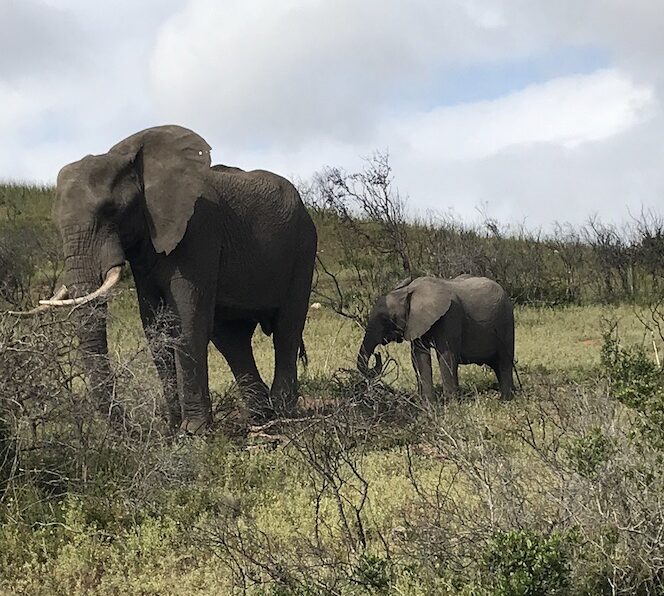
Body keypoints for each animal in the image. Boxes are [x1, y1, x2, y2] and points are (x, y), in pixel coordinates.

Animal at [14, 124, 316, 434]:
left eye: (111, 210)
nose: (128, 427)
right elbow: (154, 325)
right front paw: (173, 429)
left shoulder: (198, 229)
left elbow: (187, 321)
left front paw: (193, 431)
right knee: (231, 338)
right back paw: (259, 417)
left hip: (303, 246)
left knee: (286, 327)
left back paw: (282, 412)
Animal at [356, 276, 516, 400]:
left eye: (384, 319)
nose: (377, 354)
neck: (407, 292)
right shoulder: (416, 322)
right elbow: (419, 357)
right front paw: (428, 405)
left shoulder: (450, 315)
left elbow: (446, 356)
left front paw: (451, 404)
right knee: (497, 365)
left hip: (506, 321)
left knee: (504, 362)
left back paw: (505, 400)